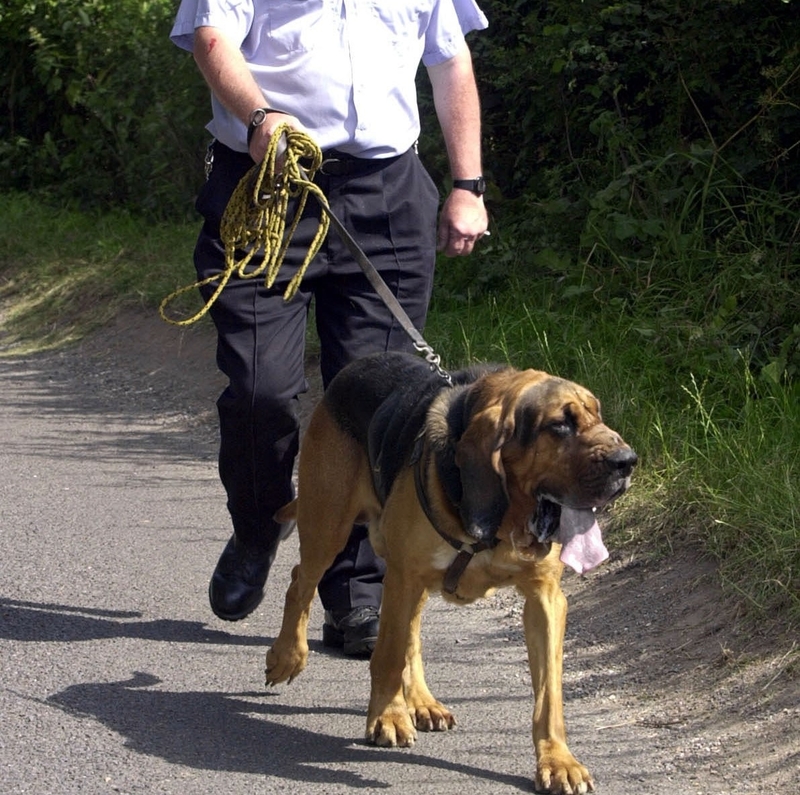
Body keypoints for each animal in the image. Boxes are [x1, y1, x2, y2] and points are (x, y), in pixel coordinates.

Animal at [268, 354, 636, 795]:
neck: (499, 525)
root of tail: (358, 366)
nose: (627, 462)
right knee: (300, 582)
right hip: (329, 526)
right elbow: (387, 657)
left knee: (408, 634)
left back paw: (423, 702)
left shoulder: (546, 599)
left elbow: (549, 694)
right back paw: (287, 657)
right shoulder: (404, 578)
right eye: (559, 425)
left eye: (598, 416)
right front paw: (388, 717)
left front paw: (558, 761)